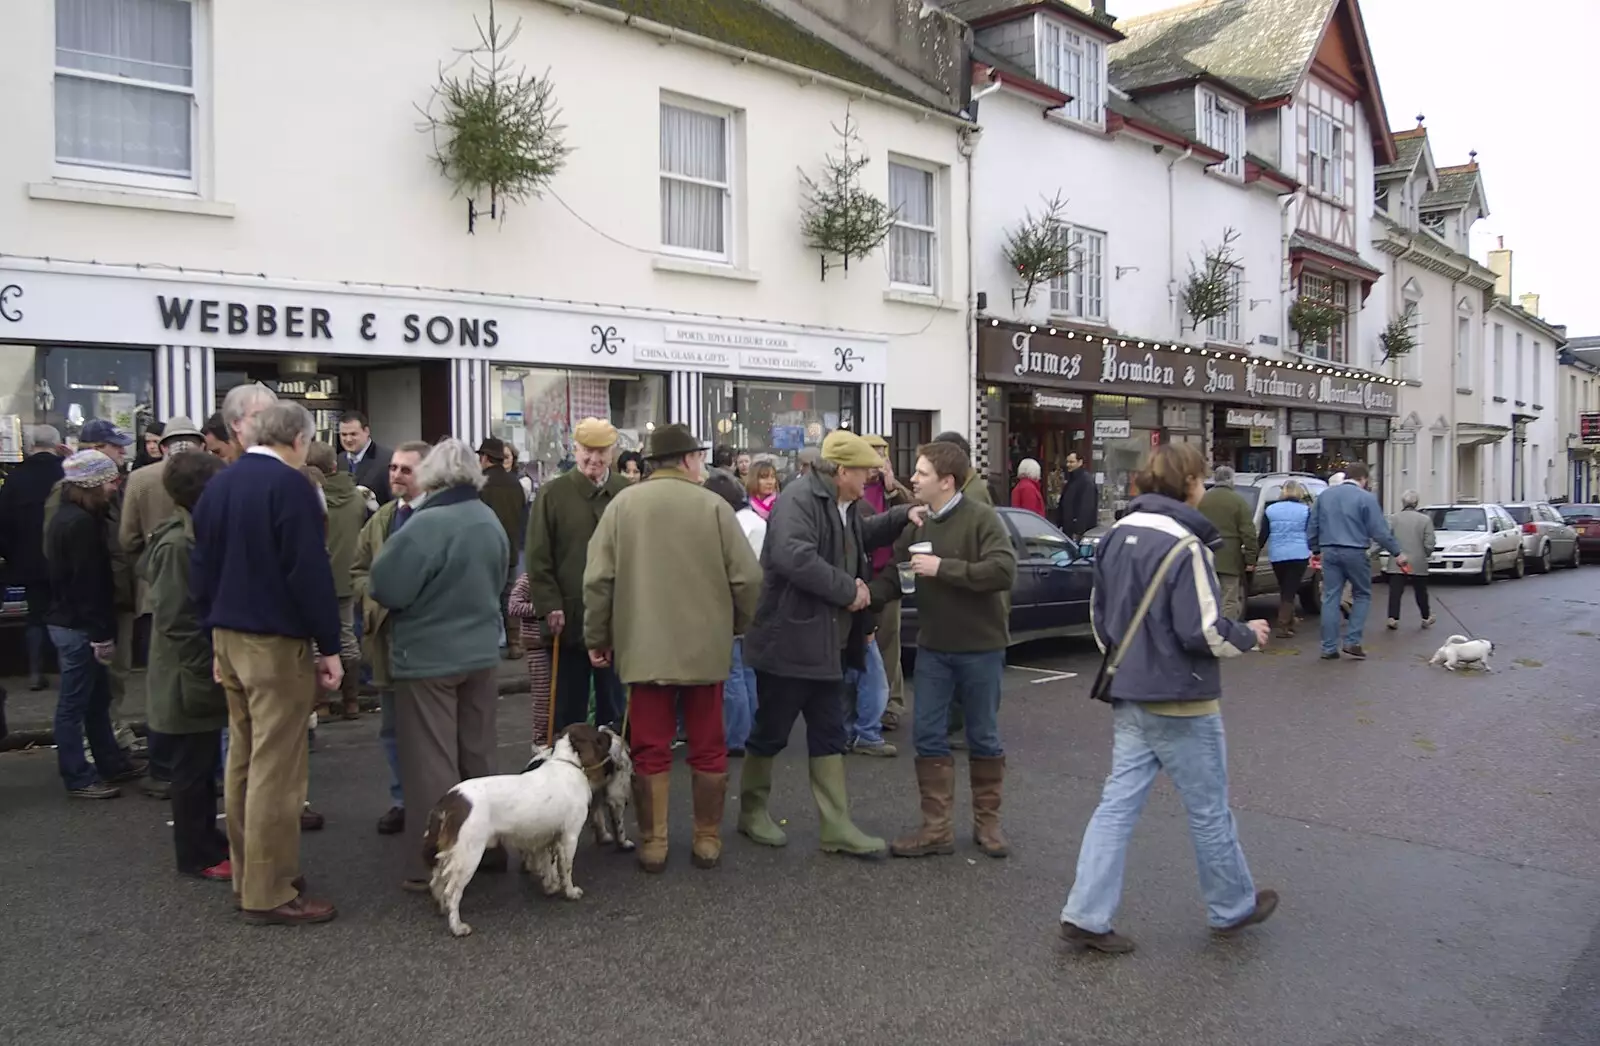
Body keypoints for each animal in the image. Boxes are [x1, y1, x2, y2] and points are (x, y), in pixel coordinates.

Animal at [422, 726, 608, 940]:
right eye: (598, 737)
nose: (608, 731)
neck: (565, 762)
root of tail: (450, 800)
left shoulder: (545, 838)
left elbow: (548, 865)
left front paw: (550, 887)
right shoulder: (569, 837)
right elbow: (566, 869)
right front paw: (569, 892)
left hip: (451, 854)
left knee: (436, 882)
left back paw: (442, 909)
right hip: (469, 855)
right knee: (451, 892)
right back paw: (457, 927)